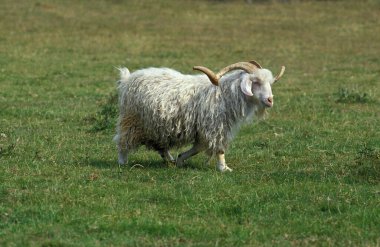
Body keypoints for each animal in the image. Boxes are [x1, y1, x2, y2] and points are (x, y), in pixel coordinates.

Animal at [114, 60, 284, 172]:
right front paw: (224, 168)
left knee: (160, 145)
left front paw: (181, 159)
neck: (224, 94)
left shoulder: (207, 128)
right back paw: (122, 162)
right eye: (255, 82)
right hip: (133, 120)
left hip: (157, 125)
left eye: (269, 83)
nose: (270, 100)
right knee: (123, 140)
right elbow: (218, 148)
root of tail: (127, 79)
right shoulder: (215, 126)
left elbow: (199, 146)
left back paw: (170, 159)